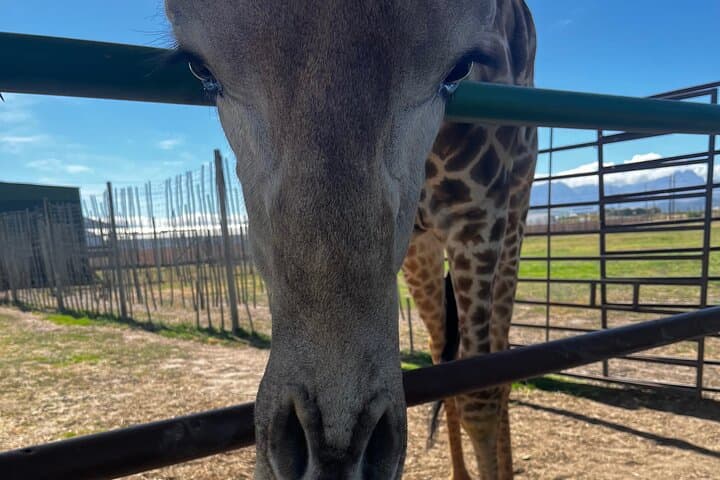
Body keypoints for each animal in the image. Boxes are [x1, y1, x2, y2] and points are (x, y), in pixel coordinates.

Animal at [165, 1, 536, 478]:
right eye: (200, 67)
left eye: (459, 68)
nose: (334, 457)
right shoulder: (419, 244)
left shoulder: (479, 215)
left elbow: (483, 391)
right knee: (442, 352)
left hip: (516, 209)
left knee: (498, 357)